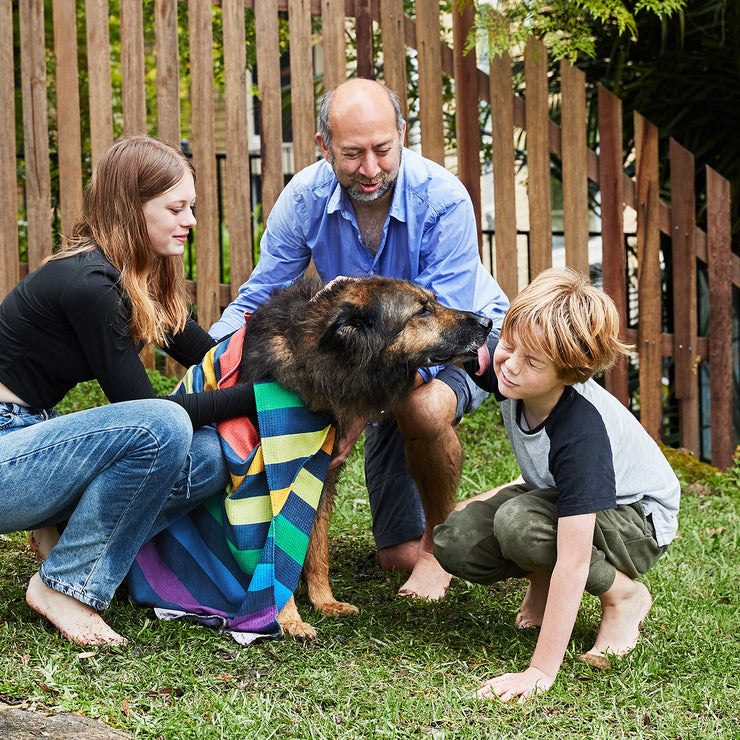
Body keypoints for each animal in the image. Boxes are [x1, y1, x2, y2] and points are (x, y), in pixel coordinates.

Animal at [237, 276, 492, 636]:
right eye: (421, 310)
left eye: (434, 300)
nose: (488, 322)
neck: (320, 360)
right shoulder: (272, 479)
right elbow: (275, 557)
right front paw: (287, 620)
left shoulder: (322, 475)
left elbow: (317, 549)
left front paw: (325, 602)